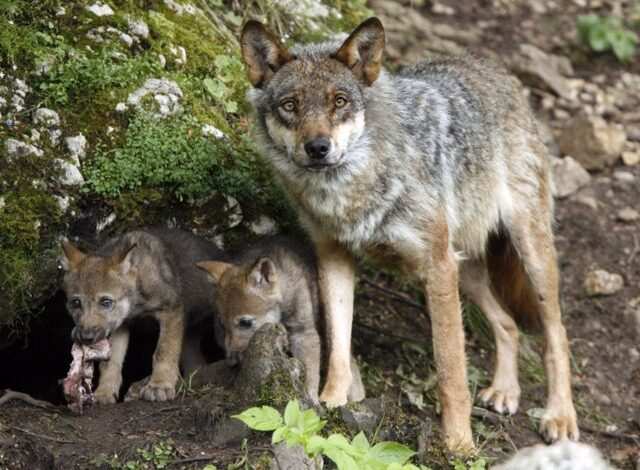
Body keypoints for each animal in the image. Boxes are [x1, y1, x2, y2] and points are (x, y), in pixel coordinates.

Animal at [60, 228, 225, 403]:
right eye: (76, 303)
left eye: (106, 302)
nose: (86, 337)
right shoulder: (120, 325)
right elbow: (111, 362)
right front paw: (104, 392)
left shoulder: (171, 311)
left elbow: (162, 352)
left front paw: (159, 385)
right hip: (189, 338)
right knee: (196, 365)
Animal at [197, 235, 365, 404]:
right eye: (222, 326)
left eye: (245, 322)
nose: (231, 362)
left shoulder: (304, 333)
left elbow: (309, 371)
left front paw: (311, 400)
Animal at [239, 18, 579, 451]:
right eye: (290, 105)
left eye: (339, 102)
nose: (318, 147)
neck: (349, 192)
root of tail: (494, 69)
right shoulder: (334, 256)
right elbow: (338, 342)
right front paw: (330, 402)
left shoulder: (437, 267)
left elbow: (451, 371)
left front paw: (459, 444)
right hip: (464, 271)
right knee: (508, 324)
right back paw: (505, 391)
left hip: (526, 256)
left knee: (557, 334)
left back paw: (560, 415)